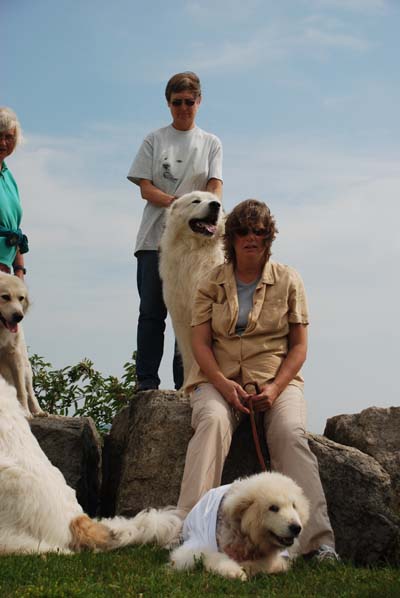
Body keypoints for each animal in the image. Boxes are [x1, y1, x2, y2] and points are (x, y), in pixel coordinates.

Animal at [159, 195, 225, 386]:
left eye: (216, 201)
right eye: (196, 201)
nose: (216, 205)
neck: (194, 253)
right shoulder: (180, 318)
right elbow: (190, 356)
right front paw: (187, 386)